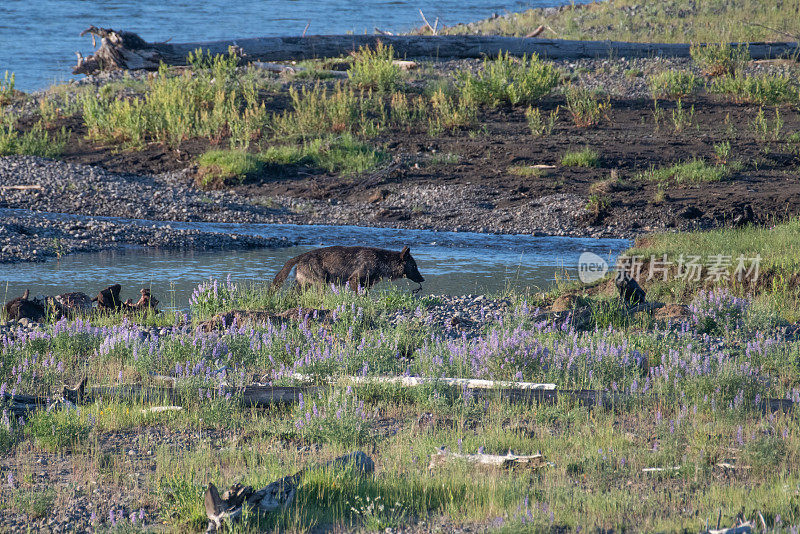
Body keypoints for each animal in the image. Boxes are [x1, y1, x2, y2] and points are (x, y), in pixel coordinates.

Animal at [272, 246, 424, 292]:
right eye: (415, 266)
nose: (423, 279)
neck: (381, 262)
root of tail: (299, 256)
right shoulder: (354, 279)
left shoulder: (367, 284)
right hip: (322, 283)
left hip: (304, 285)